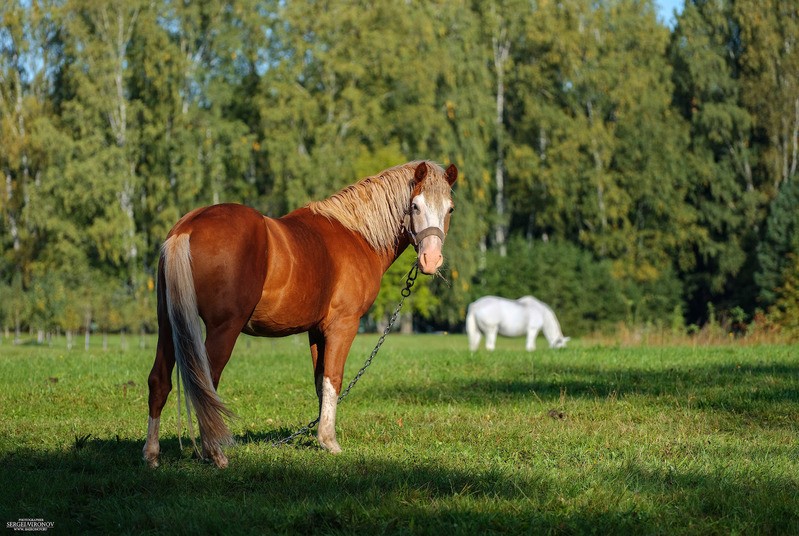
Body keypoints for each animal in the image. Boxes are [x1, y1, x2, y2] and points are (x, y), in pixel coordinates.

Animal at [142, 161, 456, 466]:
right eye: (415, 206)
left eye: (450, 208)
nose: (430, 260)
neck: (356, 234)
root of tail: (189, 227)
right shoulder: (342, 326)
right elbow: (334, 379)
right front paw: (330, 442)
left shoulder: (316, 331)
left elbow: (320, 382)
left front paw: (319, 436)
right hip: (224, 328)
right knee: (205, 384)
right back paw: (215, 454)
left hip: (168, 325)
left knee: (159, 380)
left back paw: (152, 454)